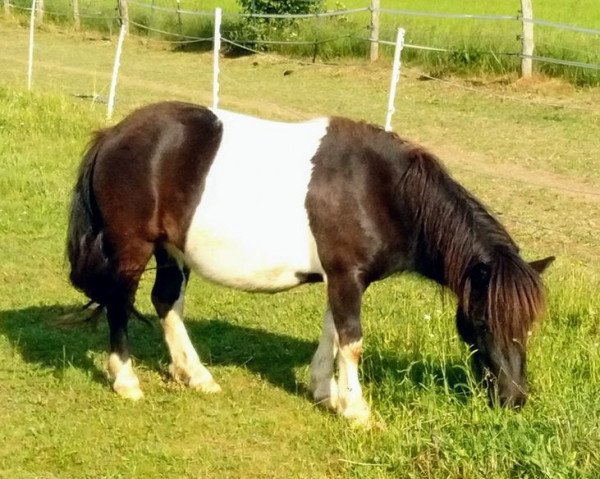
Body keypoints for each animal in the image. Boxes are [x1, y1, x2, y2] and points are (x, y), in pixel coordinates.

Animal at [67, 101, 552, 424]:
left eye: (528, 326)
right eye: (482, 321)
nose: (514, 400)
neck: (379, 189)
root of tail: (112, 135)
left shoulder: (342, 278)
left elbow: (333, 335)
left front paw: (325, 393)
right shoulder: (347, 278)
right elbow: (351, 341)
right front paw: (356, 410)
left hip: (172, 251)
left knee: (165, 302)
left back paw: (195, 374)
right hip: (133, 248)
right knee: (120, 304)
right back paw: (126, 381)